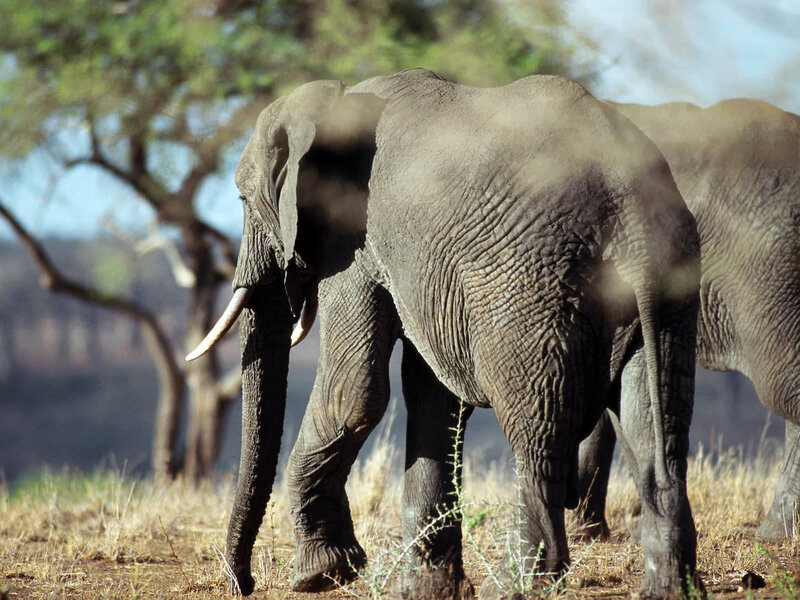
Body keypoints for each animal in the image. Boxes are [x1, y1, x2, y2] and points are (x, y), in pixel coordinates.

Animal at [186, 68, 702, 599]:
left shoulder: (353, 239)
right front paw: (423, 590)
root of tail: (631, 208)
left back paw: (518, 585)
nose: (243, 582)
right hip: (669, 285)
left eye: (243, 200)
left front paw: (320, 576)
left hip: (530, 287)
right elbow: (432, 394)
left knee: (537, 431)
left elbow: (354, 392)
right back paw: (668, 588)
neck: (337, 97)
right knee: (654, 428)